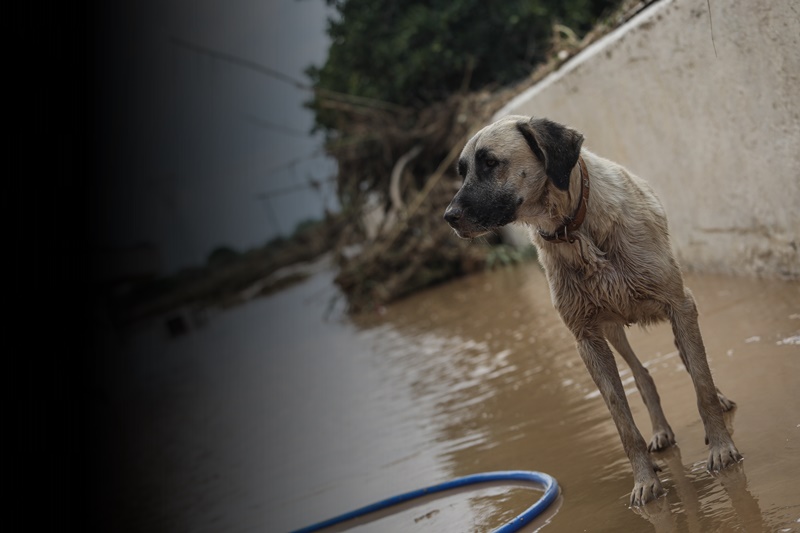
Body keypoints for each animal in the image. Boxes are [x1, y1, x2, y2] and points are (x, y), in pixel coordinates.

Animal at [440, 114, 740, 504]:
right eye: (462, 171)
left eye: (490, 162)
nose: (449, 217)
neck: (575, 229)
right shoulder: (588, 341)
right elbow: (623, 422)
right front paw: (645, 480)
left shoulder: (680, 305)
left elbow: (701, 383)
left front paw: (721, 447)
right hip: (612, 330)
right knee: (642, 375)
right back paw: (660, 431)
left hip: (675, 315)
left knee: (691, 365)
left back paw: (717, 405)